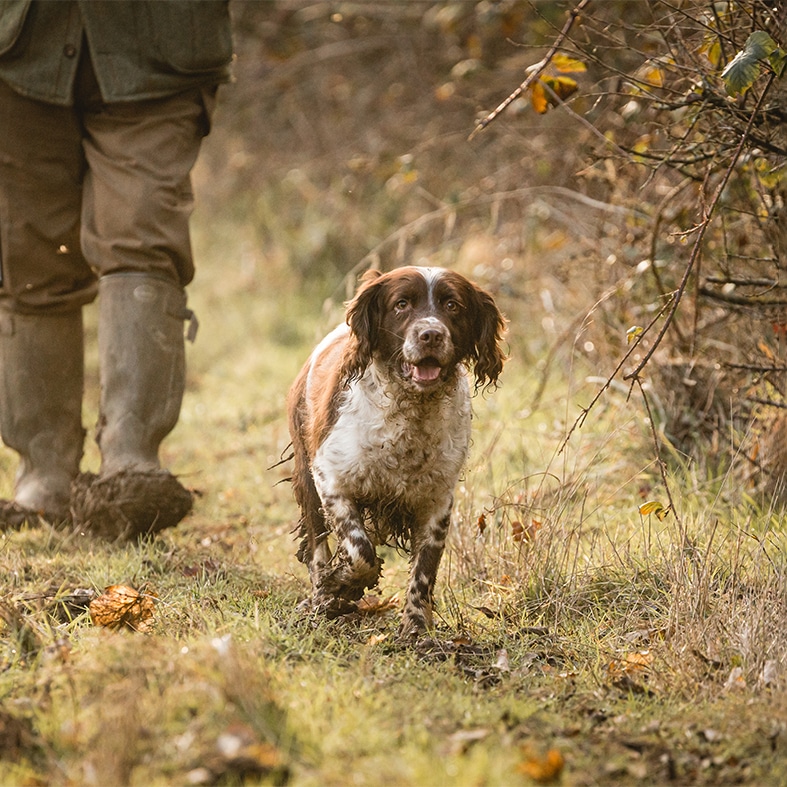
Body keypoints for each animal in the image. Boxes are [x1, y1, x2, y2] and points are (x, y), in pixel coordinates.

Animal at [288, 268, 504, 636]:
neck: (410, 412)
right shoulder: (330, 479)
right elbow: (360, 552)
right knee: (318, 545)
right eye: (402, 304)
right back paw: (321, 599)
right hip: (307, 481)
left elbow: (424, 571)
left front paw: (416, 627)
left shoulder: (436, 501)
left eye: (452, 305)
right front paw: (339, 585)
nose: (431, 335)